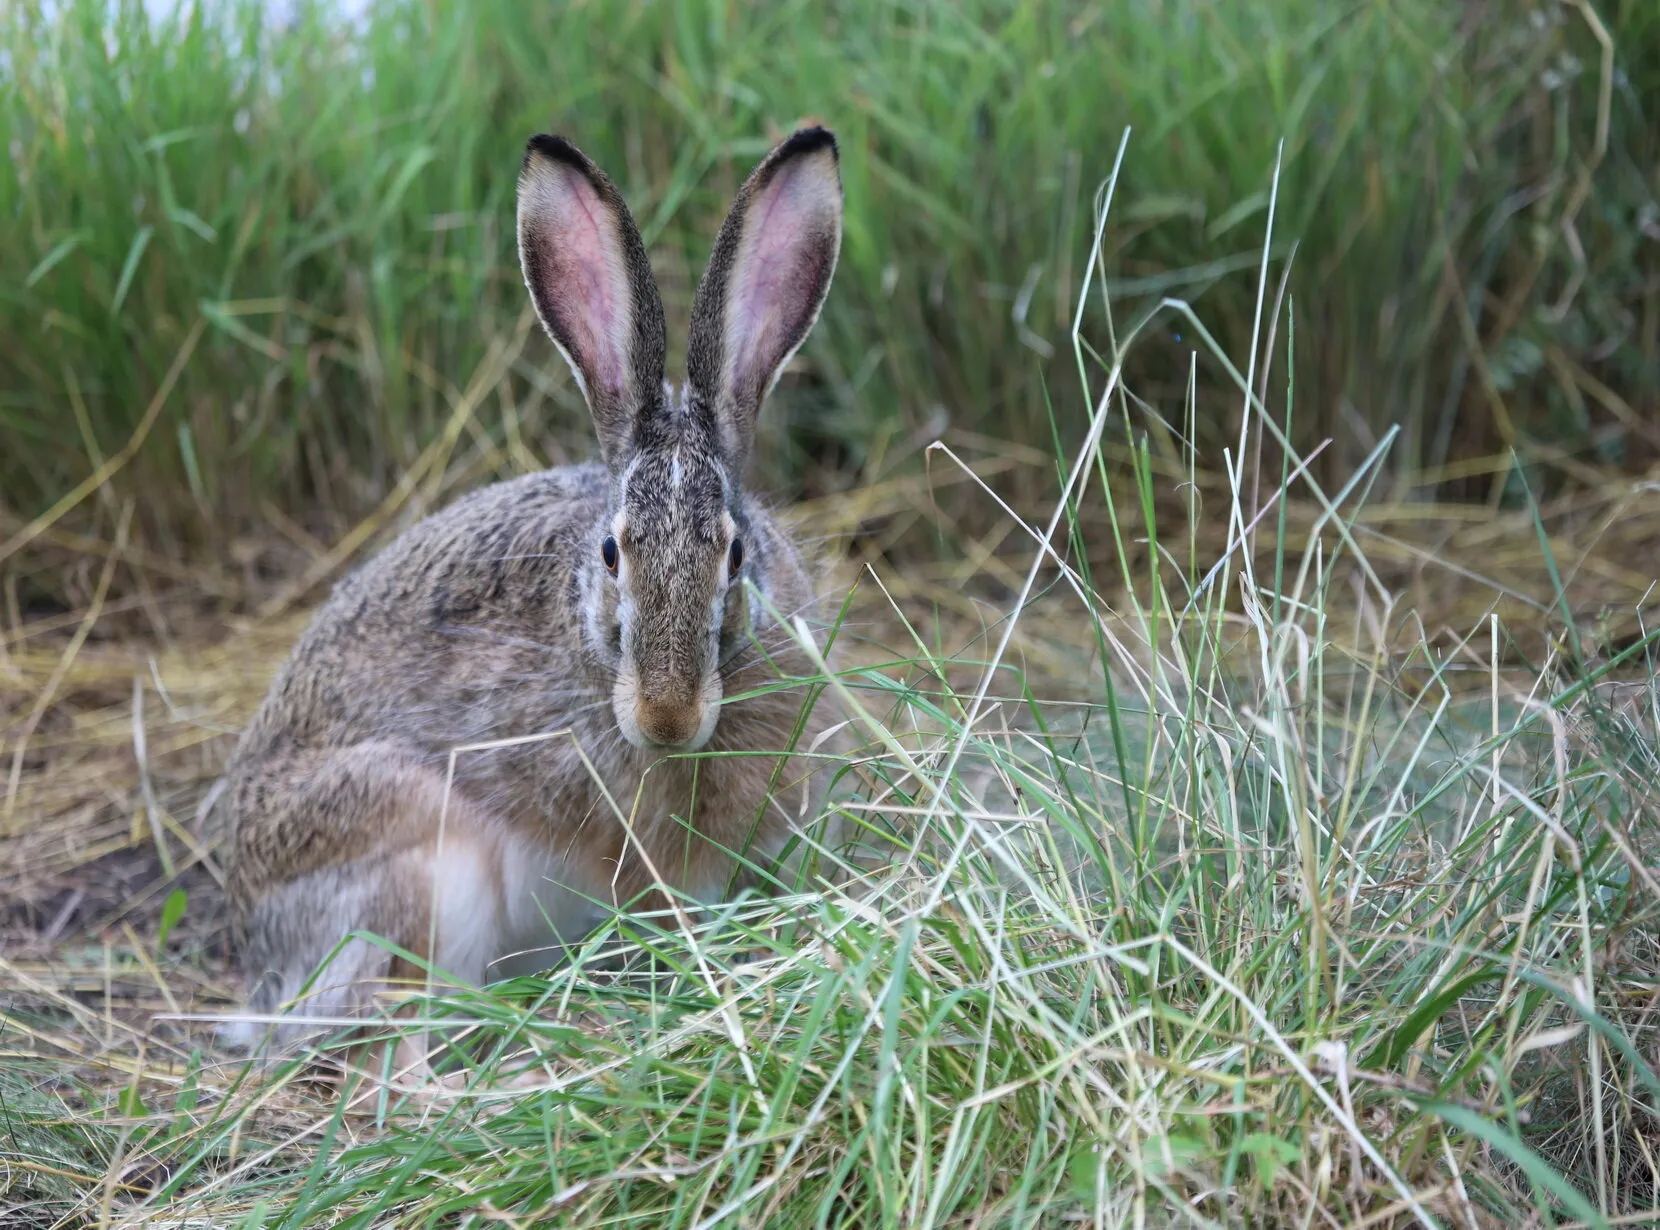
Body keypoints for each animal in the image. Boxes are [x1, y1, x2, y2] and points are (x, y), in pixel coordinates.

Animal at [219, 126, 848, 1052]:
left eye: (735, 555)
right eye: (612, 553)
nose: (666, 718)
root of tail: (263, 959)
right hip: (422, 868)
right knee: (392, 1049)